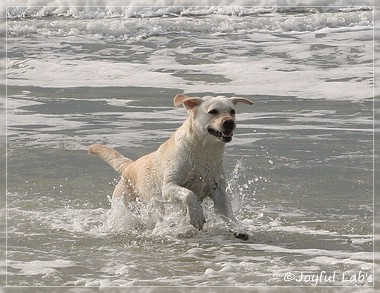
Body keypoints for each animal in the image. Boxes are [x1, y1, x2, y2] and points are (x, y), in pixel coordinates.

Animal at [90, 94, 254, 238]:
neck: (204, 151)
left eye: (232, 111)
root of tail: (130, 165)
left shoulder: (218, 191)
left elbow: (228, 213)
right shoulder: (169, 186)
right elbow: (189, 194)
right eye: (213, 111)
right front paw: (197, 216)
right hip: (124, 205)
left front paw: (238, 229)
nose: (229, 122)